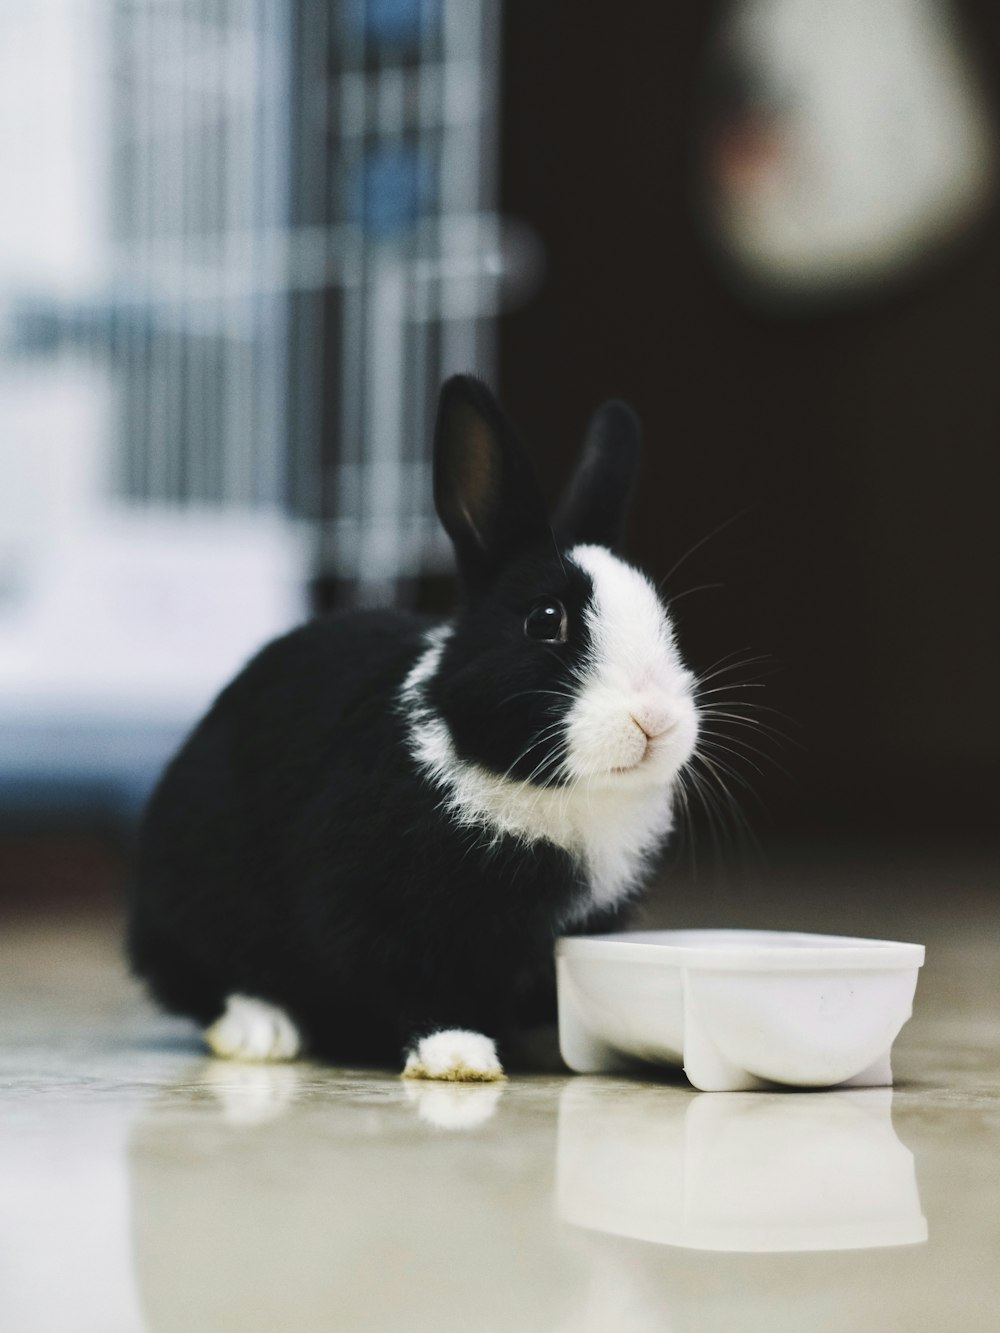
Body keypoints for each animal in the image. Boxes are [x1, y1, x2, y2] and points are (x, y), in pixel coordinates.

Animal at [129, 375, 698, 1082]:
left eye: (663, 617)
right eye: (546, 619)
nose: (655, 719)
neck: (538, 785)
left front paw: (550, 1044)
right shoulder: (379, 912)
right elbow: (418, 985)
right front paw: (460, 1056)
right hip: (196, 901)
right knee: (210, 982)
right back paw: (262, 1031)